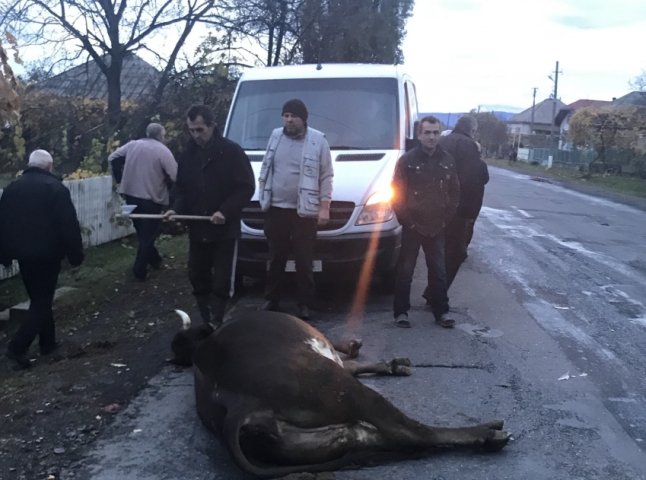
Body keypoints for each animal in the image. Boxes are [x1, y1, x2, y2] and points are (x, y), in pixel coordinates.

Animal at [171, 310, 512, 478]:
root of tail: (234, 404)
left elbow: (355, 362)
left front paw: (390, 364)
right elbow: (351, 358)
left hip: (329, 437)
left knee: (392, 437)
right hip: (340, 387)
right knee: (414, 432)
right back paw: (486, 433)